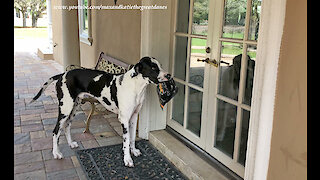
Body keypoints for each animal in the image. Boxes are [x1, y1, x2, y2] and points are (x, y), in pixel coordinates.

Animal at [30, 56, 170, 167]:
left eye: (160, 65)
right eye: (153, 68)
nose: (168, 75)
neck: (135, 86)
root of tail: (62, 74)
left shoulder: (134, 117)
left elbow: (132, 138)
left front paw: (134, 151)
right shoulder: (124, 119)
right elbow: (126, 140)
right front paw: (127, 159)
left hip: (73, 108)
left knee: (67, 126)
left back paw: (70, 144)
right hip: (65, 109)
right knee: (55, 131)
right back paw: (56, 153)